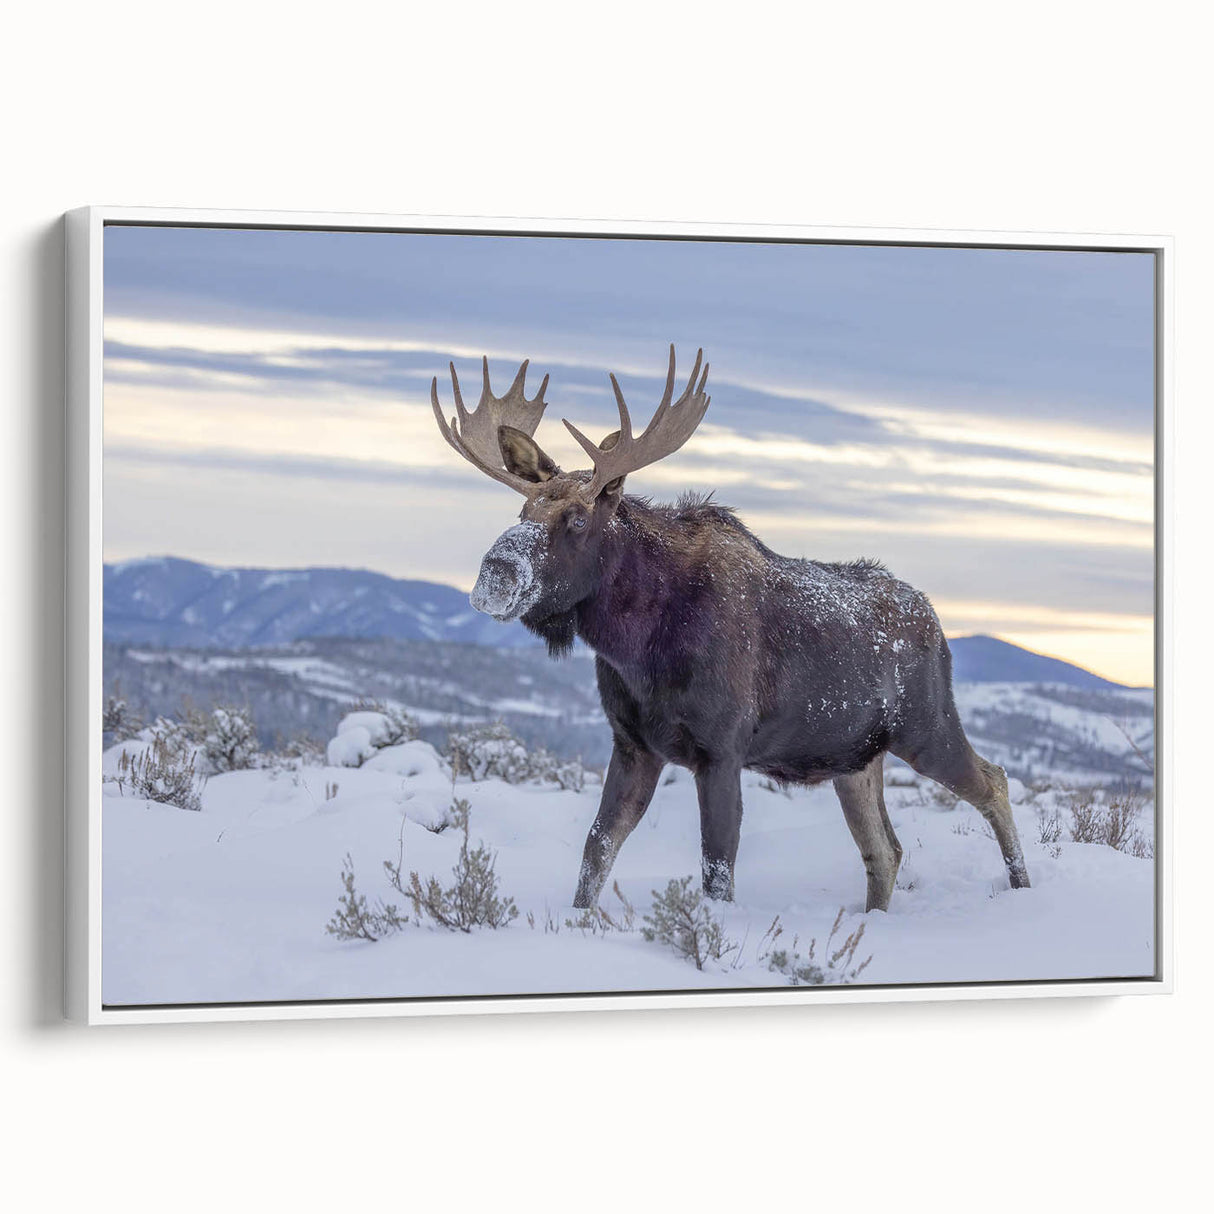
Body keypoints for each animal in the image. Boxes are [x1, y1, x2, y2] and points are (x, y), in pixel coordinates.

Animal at [430, 347, 1030, 911]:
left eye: (576, 518)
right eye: (522, 512)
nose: (494, 574)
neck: (637, 644)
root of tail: (936, 623)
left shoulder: (720, 750)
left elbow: (717, 869)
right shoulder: (633, 745)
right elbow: (596, 850)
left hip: (926, 727)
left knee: (994, 782)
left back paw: (1023, 889)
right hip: (855, 759)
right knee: (886, 849)